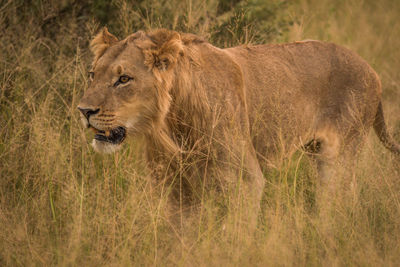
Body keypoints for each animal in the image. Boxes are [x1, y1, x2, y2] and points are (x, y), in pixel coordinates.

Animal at [78, 26, 400, 228]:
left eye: (124, 79)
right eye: (92, 74)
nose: (84, 111)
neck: (171, 124)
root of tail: (371, 69)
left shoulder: (245, 180)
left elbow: (236, 234)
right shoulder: (176, 186)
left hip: (337, 158)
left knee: (339, 202)